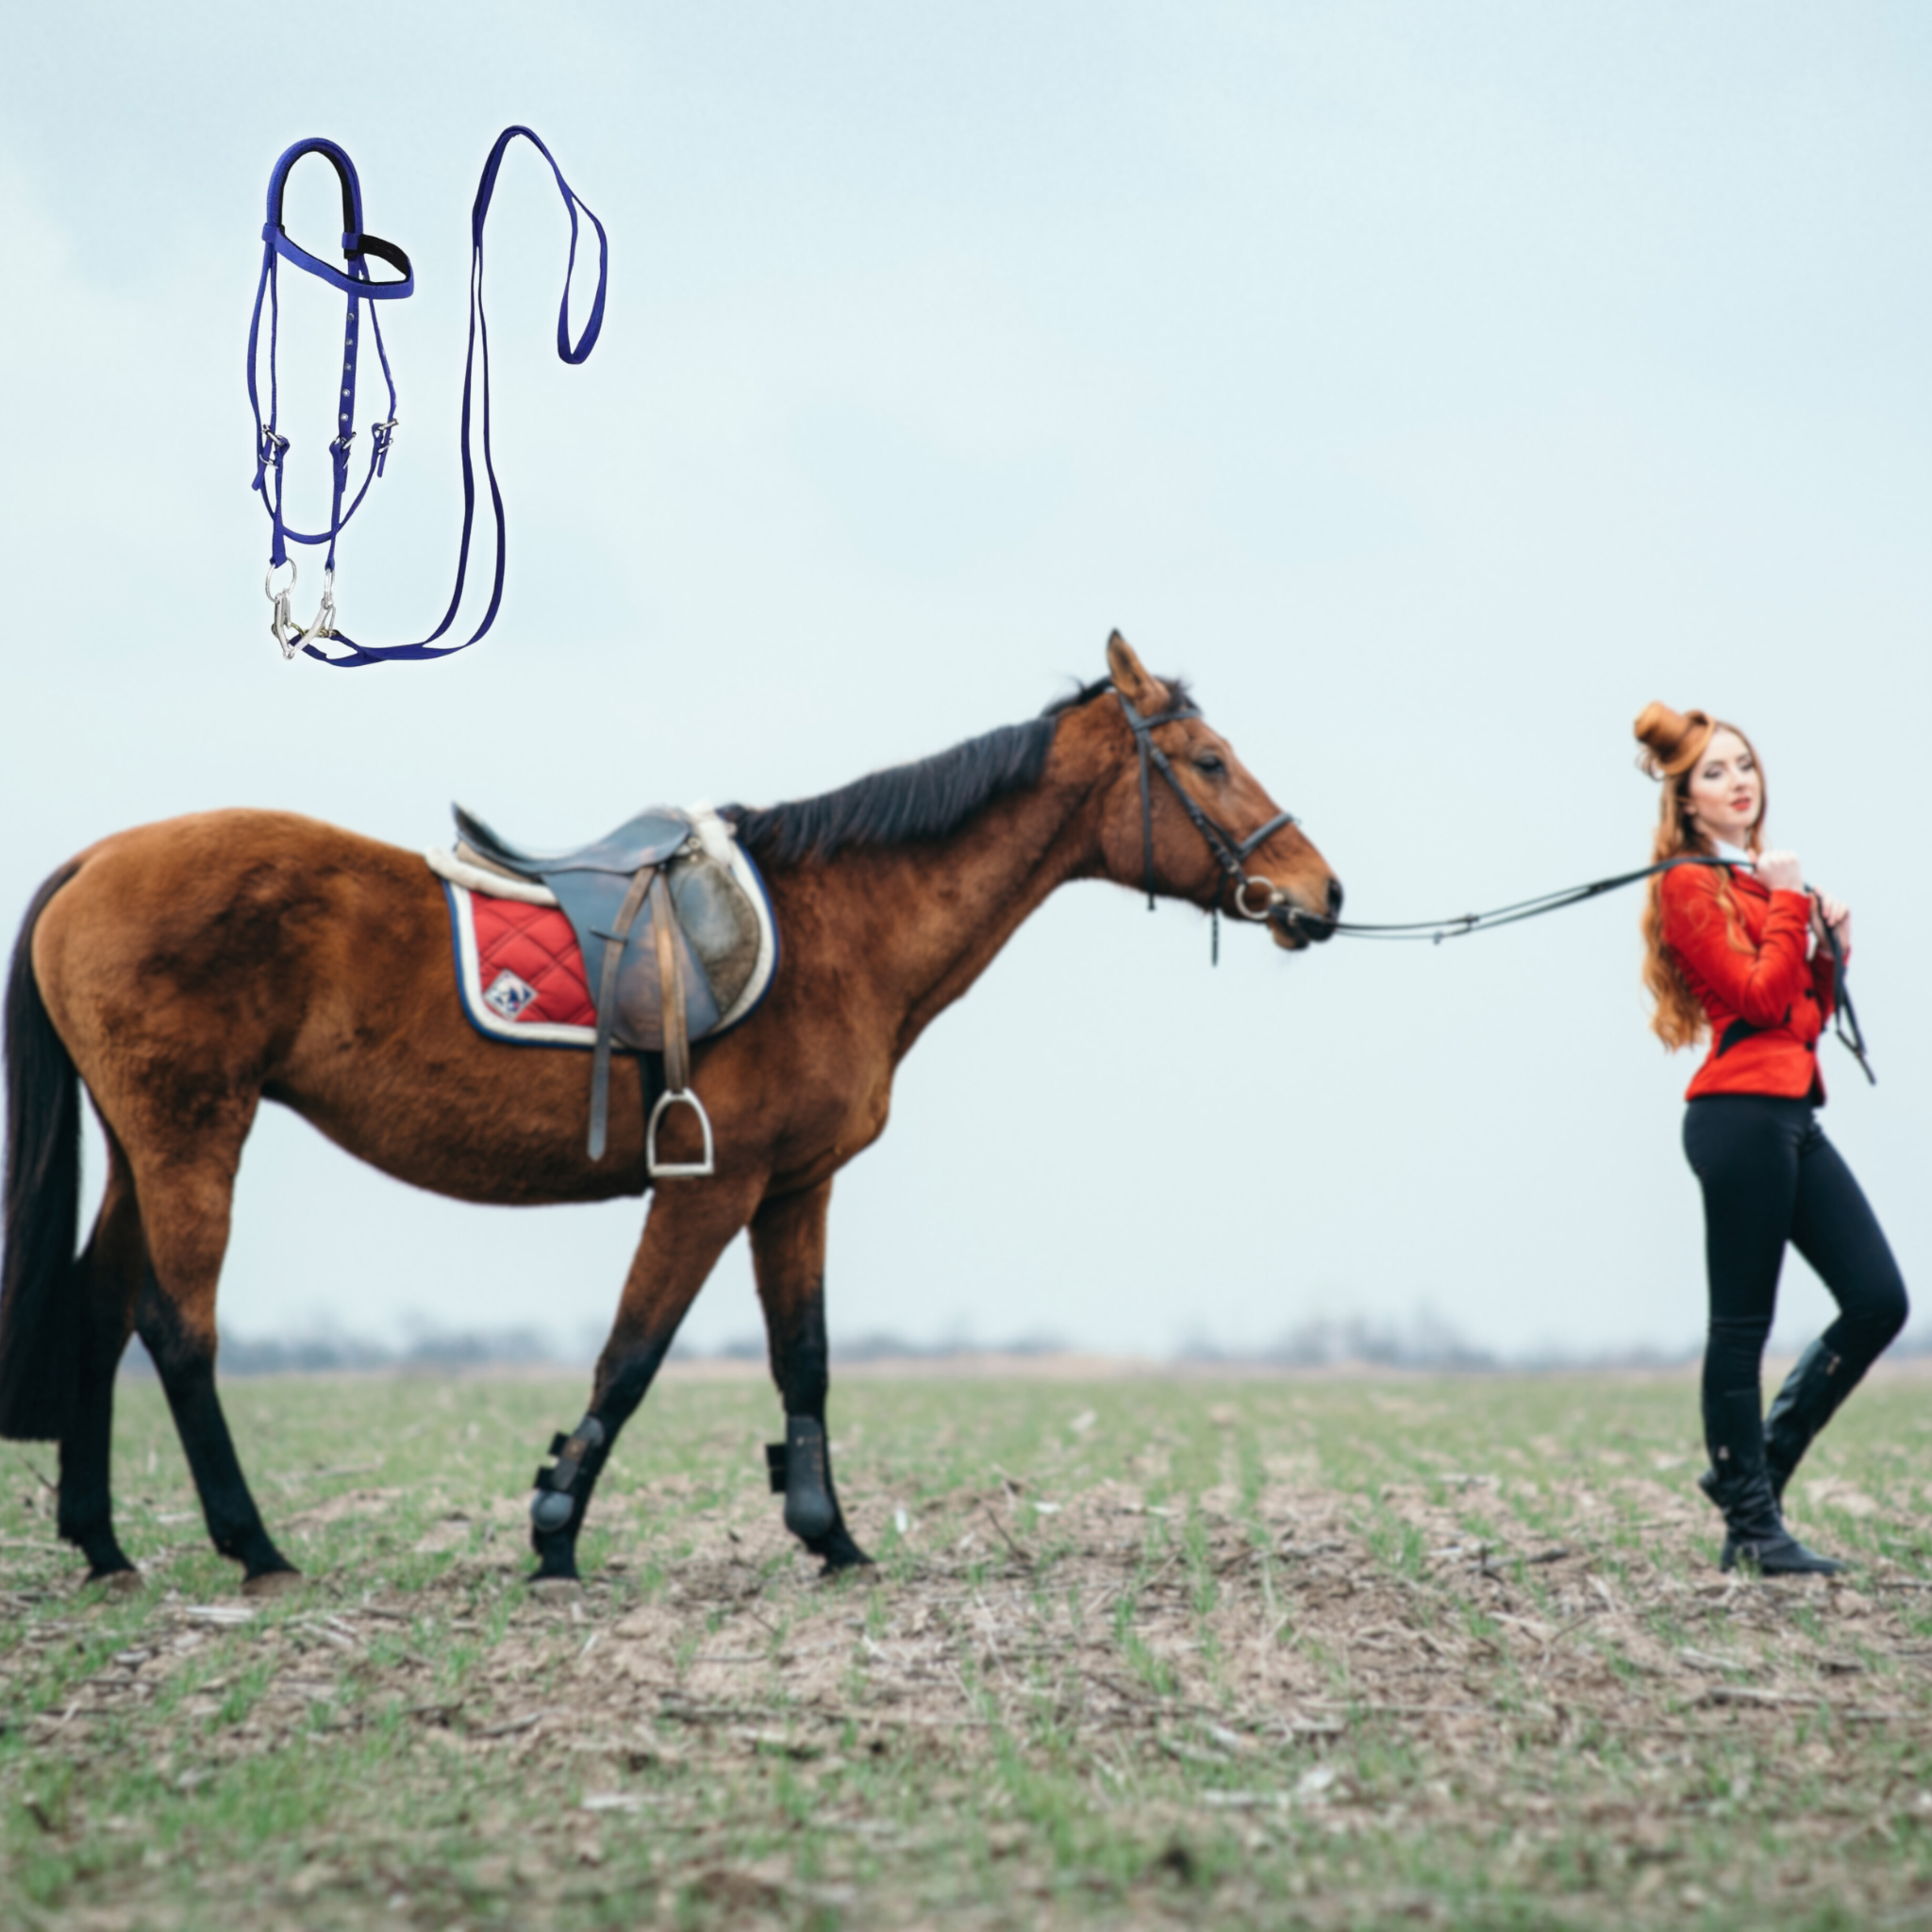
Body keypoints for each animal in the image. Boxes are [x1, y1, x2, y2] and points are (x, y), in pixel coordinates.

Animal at [0, 633, 1340, 1593]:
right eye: (1208, 761)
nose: (1321, 891)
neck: (831, 928)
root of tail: (95, 861)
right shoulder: (713, 1185)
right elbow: (632, 1355)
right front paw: (553, 1533)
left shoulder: (794, 1188)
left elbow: (804, 1359)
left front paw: (830, 1536)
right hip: (192, 1135)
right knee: (178, 1326)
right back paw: (255, 1546)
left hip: (141, 1143)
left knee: (101, 1308)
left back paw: (107, 1547)